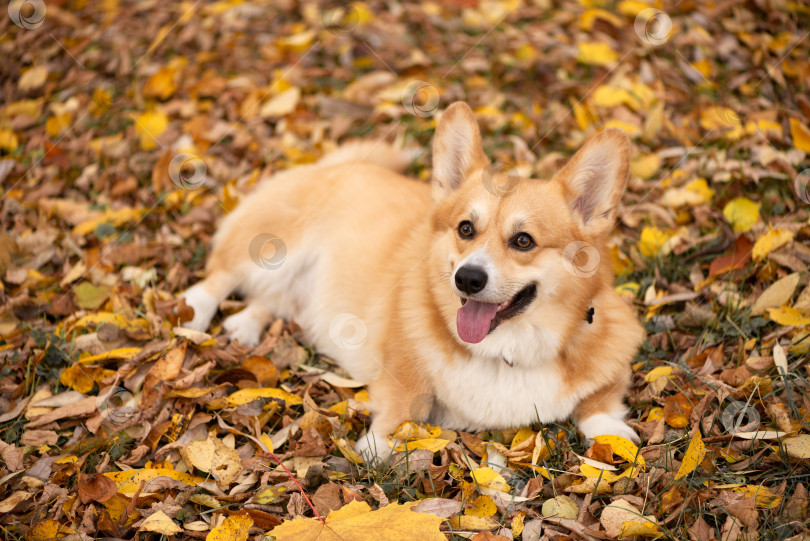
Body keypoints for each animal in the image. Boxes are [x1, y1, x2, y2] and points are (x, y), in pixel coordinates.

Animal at [183, 102, 644, 460]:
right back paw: (195, 314)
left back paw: (245, 324)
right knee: (219, 277)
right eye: (465, 229)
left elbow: (599, 401)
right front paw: (378, 446)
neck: (506, 351)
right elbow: (406, 404)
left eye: (523, 241)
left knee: (272, 300)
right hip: (272, 249)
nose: (467, 279)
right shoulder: (400, 371)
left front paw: (612, 433)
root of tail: (338, 165)